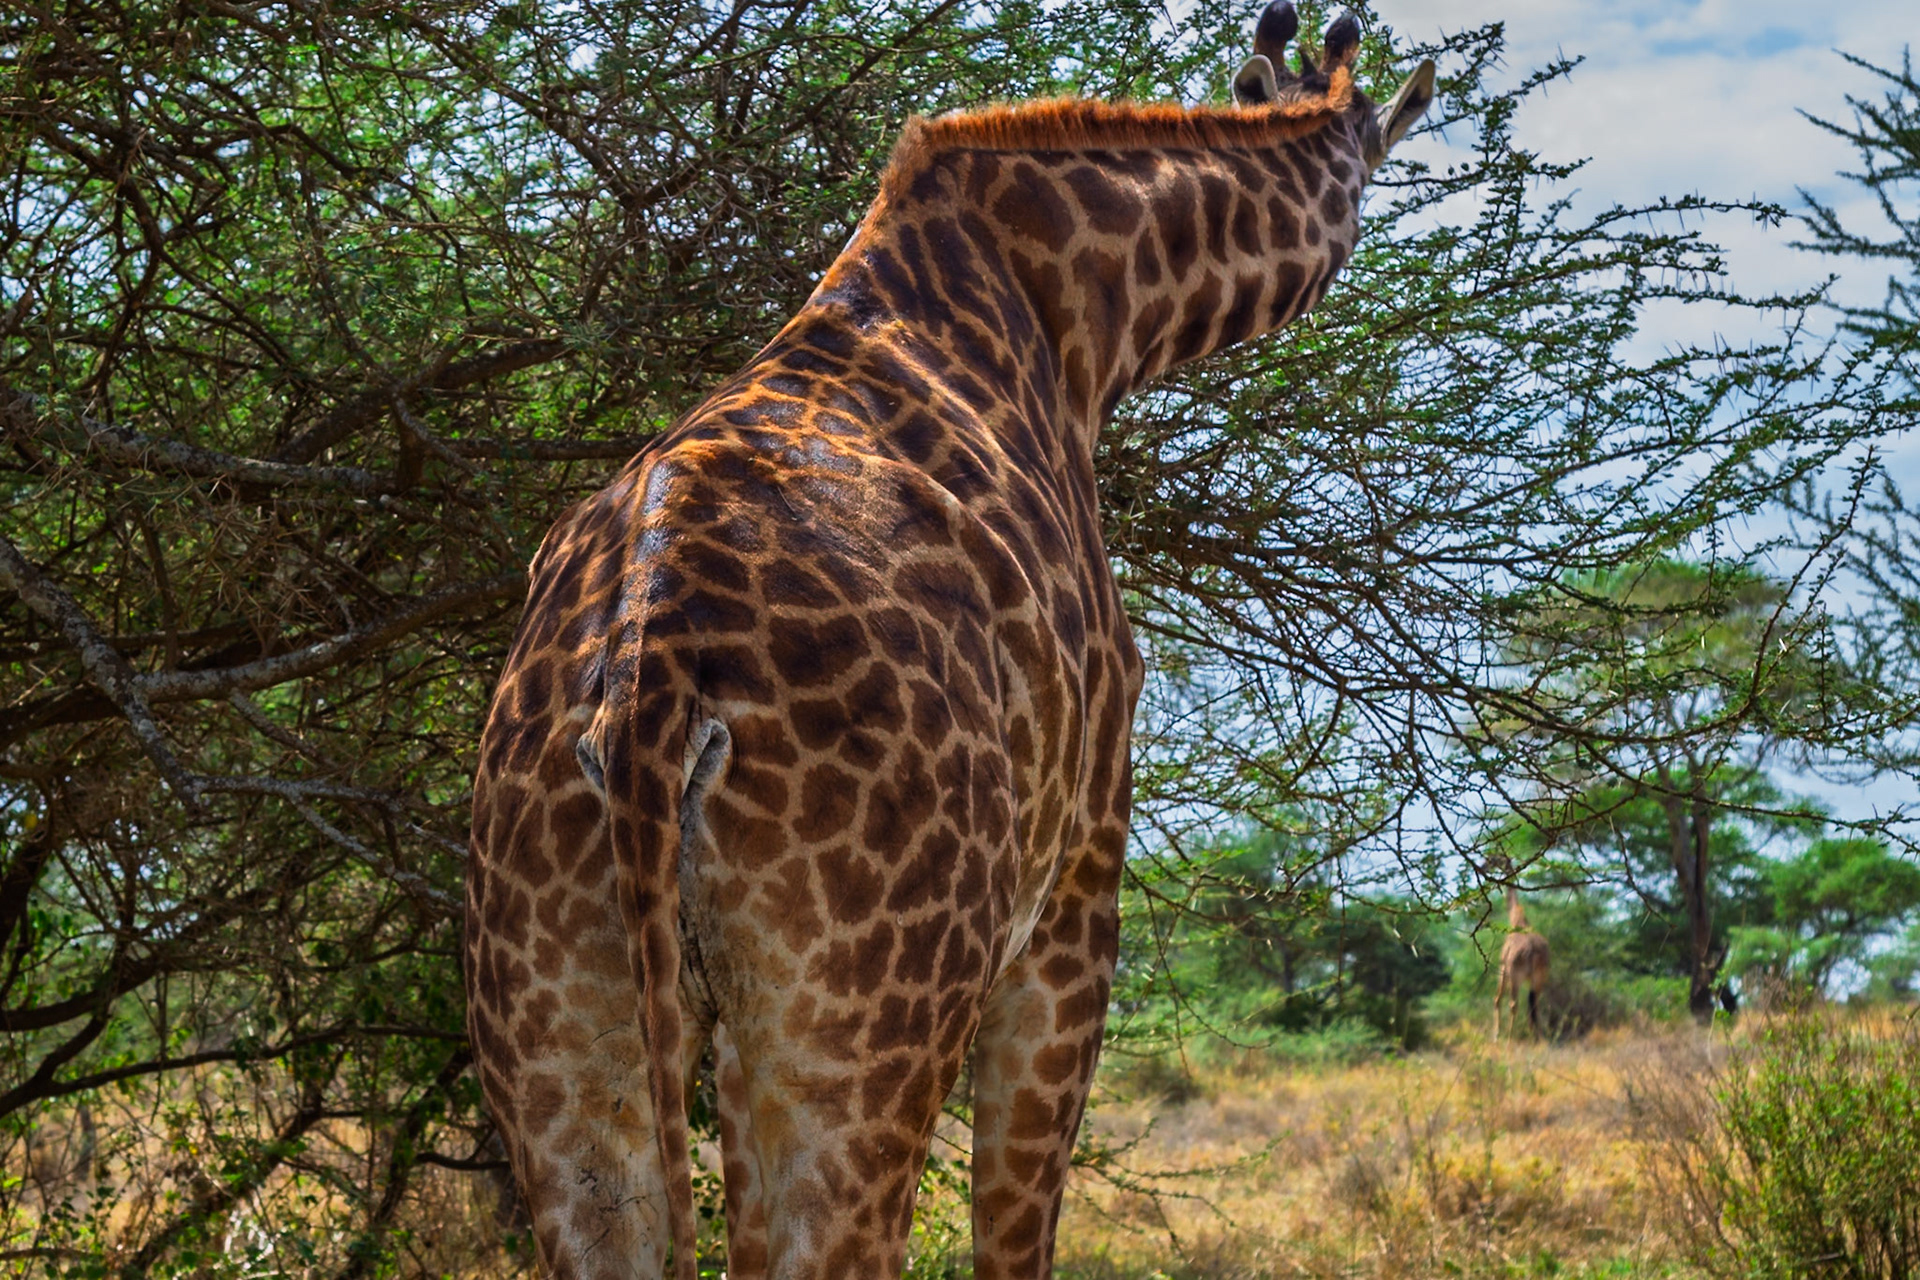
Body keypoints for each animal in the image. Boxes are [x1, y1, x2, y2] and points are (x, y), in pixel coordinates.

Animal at [464, 5, 1434, 1276]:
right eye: (1371, 153)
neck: (1082, 311)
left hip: (554, 1036)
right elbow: (1014, 1232)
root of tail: (647, 686)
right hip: (860, 1033)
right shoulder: (1077, 886)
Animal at [1495, 883, 1551, 1041]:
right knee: (1534, 1004)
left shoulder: (1503, 969)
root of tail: (1533, 951)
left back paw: (1509, 1040)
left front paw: (1496, 1035)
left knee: (1513, 1004)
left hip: (1515, 976)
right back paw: (1539, 1039)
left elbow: (1497, 999)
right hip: (1539, 977)